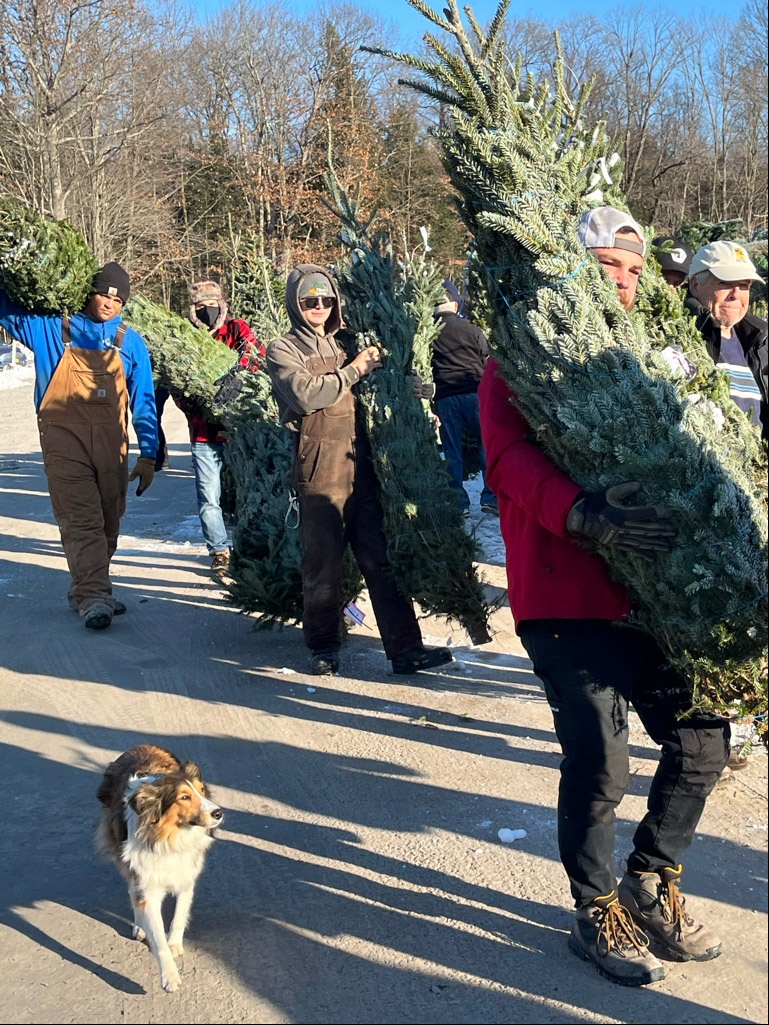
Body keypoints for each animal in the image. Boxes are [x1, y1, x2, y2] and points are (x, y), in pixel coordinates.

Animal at [96, 746, 222, 992]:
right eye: (184, 797)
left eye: (202, 790)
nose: (218, 813)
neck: (170, 837)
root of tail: (142, 746)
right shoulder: (147, 883)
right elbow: (157, 934)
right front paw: (169, 975)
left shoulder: (186, 876)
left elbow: (179, 915)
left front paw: (175, 944)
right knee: (132, 892)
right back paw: (139, 925)